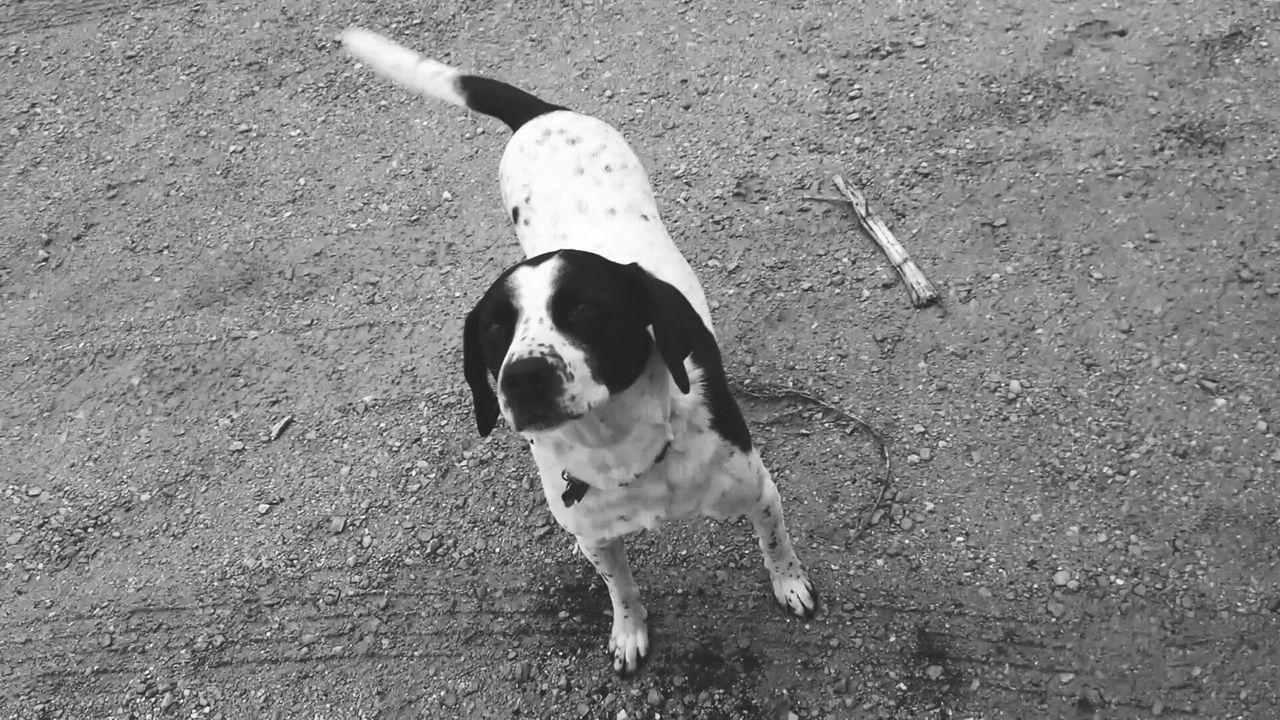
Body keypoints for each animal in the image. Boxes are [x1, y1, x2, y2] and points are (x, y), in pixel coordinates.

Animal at [343, 26, 819, 666]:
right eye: (495, 330)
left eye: (585, 309)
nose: (522, 378)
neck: (621, 447)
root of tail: (541, 114)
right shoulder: (594, 538)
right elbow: (622, 589)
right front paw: (629, 631)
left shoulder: (758, 490)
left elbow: (775, 542)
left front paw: (789, 584)